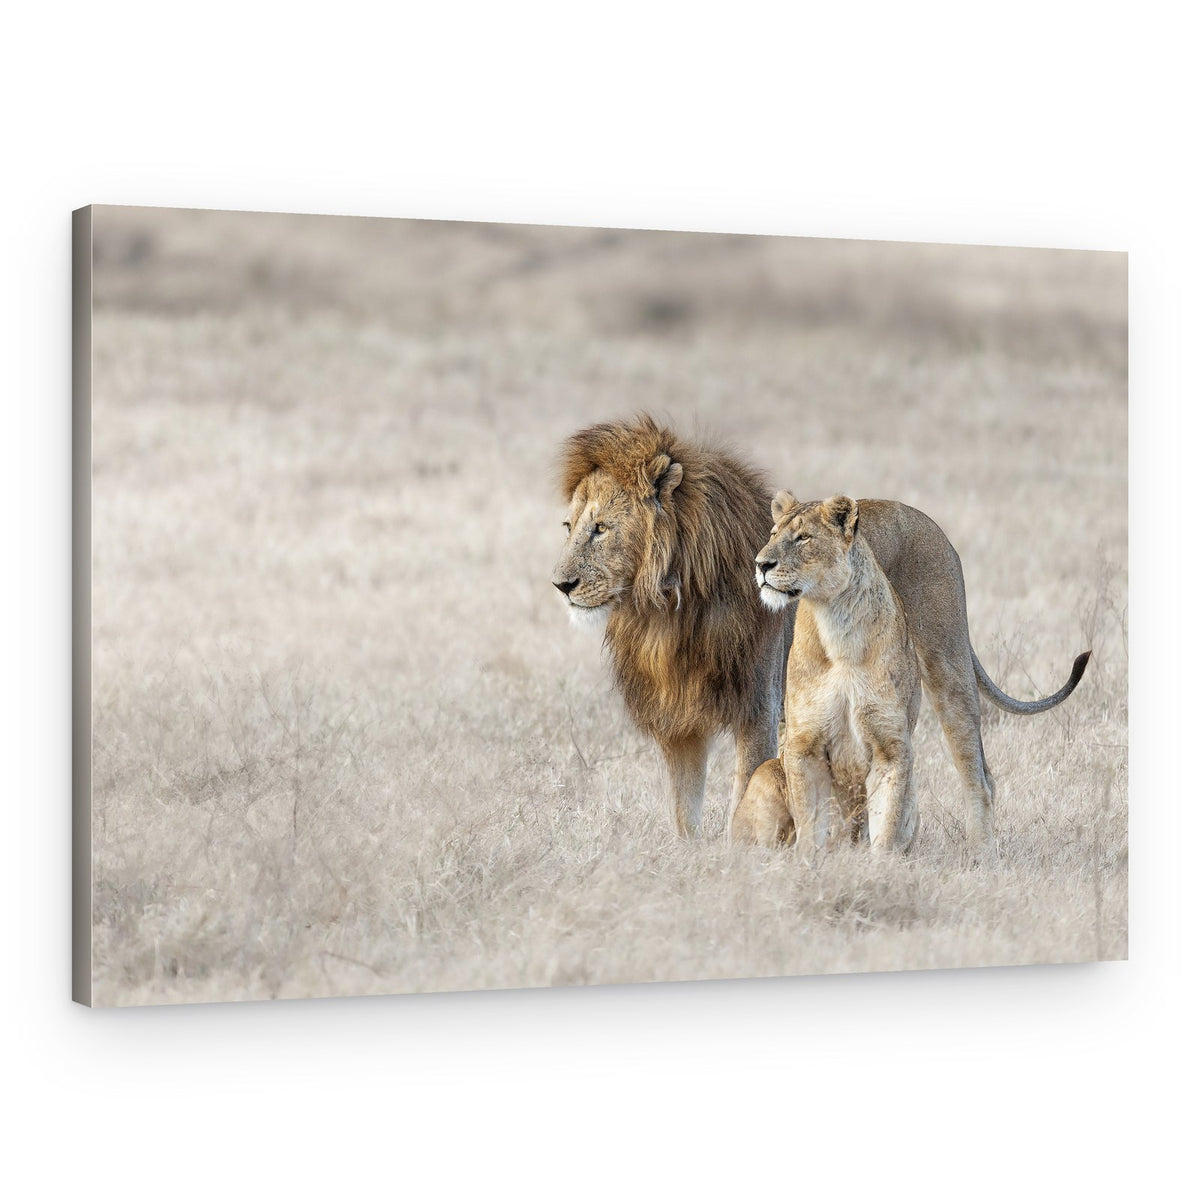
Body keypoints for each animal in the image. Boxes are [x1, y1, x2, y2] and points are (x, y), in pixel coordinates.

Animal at [730, 494, 922, 854]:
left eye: (803, 538)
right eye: (773, 534)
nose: (761, 564)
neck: (837, 624)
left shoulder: (892, 747)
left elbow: (886, 824)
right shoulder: (803, 744)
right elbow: (811, 821)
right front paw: (810, 860)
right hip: (766, 774)